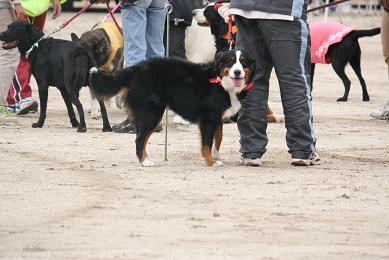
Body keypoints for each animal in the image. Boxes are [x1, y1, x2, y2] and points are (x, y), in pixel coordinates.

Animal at [89, 49, 256, 167]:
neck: (221, 83)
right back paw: (145, 162)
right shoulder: (209, 118)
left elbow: (218, 139)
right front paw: (211, 161)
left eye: (243, 62)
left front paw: (216, 156)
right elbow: (207, 142)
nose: (237, 72)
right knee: (140, 139)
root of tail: (137, 68)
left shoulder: (218, 118)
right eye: (230, 61)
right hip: (152, 113)